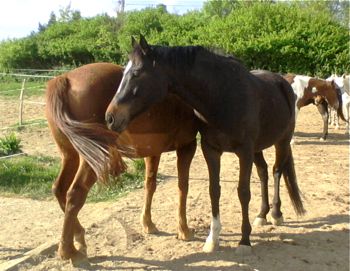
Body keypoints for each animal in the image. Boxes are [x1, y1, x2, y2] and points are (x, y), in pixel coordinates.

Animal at [45, 63, 200, 264]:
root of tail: (64, 79)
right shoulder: (187, 147)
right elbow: (183, 187)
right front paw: (184, 230)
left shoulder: (153, 152)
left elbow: (150, 185)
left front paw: (148, 224)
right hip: (93, 159)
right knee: (74, 194)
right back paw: (69, 251)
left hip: (70, 155)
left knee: (59, 189)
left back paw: (78, 236)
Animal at [105, 36, 304, 258]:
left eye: (136, 73)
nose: (110, 117)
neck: (222, 96)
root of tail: (283, 83)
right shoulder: (211, 150)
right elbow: (213, 190)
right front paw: (212, 239)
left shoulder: (244, 152)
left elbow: (243, 192)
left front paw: (244, 241)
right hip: (258, 148)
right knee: (263, 172)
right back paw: (262, 214)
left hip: (282, 141)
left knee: (277, 170)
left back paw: (276, 213)